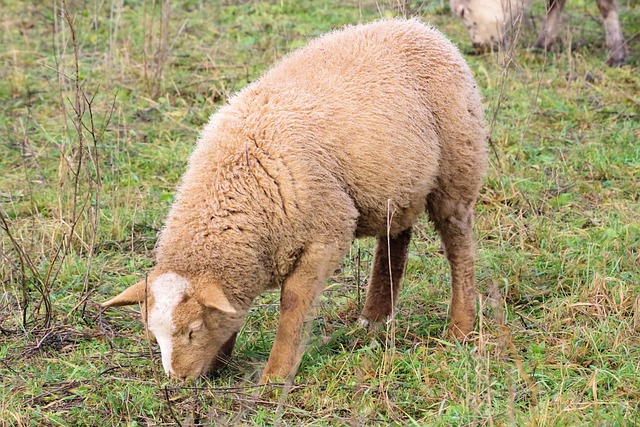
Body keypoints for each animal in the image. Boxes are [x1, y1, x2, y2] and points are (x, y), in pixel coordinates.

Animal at [102, 17, 488, 384]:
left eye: (193, 331)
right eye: (154, 336)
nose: (178, 381)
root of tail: (421, 28)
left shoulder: (327, 232)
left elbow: (293, 305)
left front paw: (275, 376)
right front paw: (222, 361)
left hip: (458, 166)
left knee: (458, 245)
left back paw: (460, 327)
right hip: (396, 184)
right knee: (395, 239)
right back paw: (374, 319)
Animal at [452, 0, 628, 66]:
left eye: (462, 12)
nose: (478, 46)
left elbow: (605, 5)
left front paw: (617, 53)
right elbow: (554, 5)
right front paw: (542, 44)